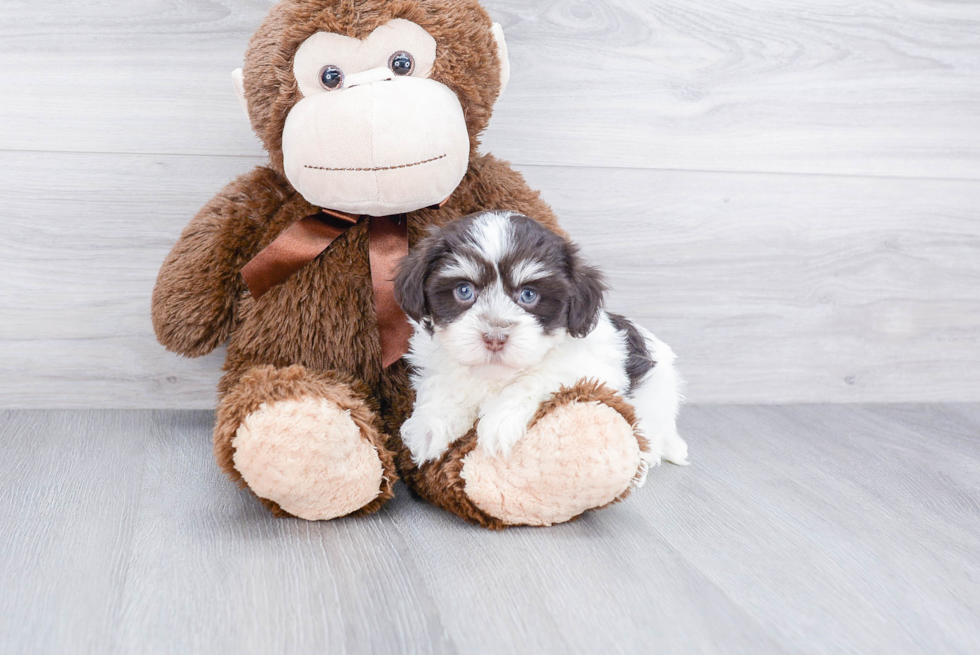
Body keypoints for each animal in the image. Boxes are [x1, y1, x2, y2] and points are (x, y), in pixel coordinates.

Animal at [392, 211, 688, 482]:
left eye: (528, 295)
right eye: (464, 291)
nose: (495, 337)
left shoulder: (592, 367)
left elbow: (538, 378)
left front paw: (500, 420)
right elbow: (445, 385)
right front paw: (429, 427)